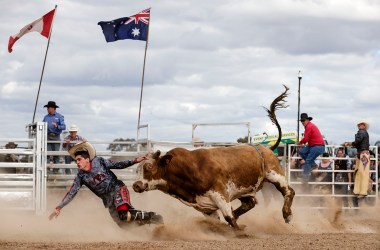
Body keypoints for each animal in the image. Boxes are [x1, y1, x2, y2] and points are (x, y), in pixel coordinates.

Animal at [132, 85, 296, 229]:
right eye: (137, 170)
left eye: (149, 167)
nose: (136, 185)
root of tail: (266, 148)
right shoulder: (205, 207)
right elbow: (220, 220)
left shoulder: (220, 194)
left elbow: (229, 217)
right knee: (250, 203)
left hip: (275, 175)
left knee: (289, 191)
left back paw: (287, 215)